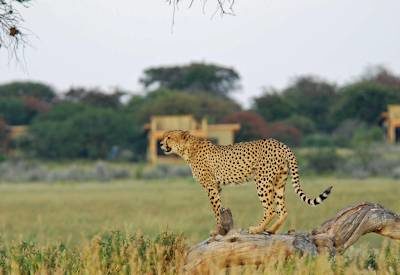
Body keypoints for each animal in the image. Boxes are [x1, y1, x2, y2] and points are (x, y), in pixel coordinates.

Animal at [159, 130, 332, 236]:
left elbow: (215, 209)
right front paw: (223, 227)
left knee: (270, 209)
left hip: (262, 181)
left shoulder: (210, 186)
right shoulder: (217, 186)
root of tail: (281, 143)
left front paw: (216, 231)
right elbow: (220, 207)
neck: (187, 149)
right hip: (279, 182)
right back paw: (271, 230)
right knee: (282, 210)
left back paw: (257, 229)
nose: (160, 143)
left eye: (169, 137)